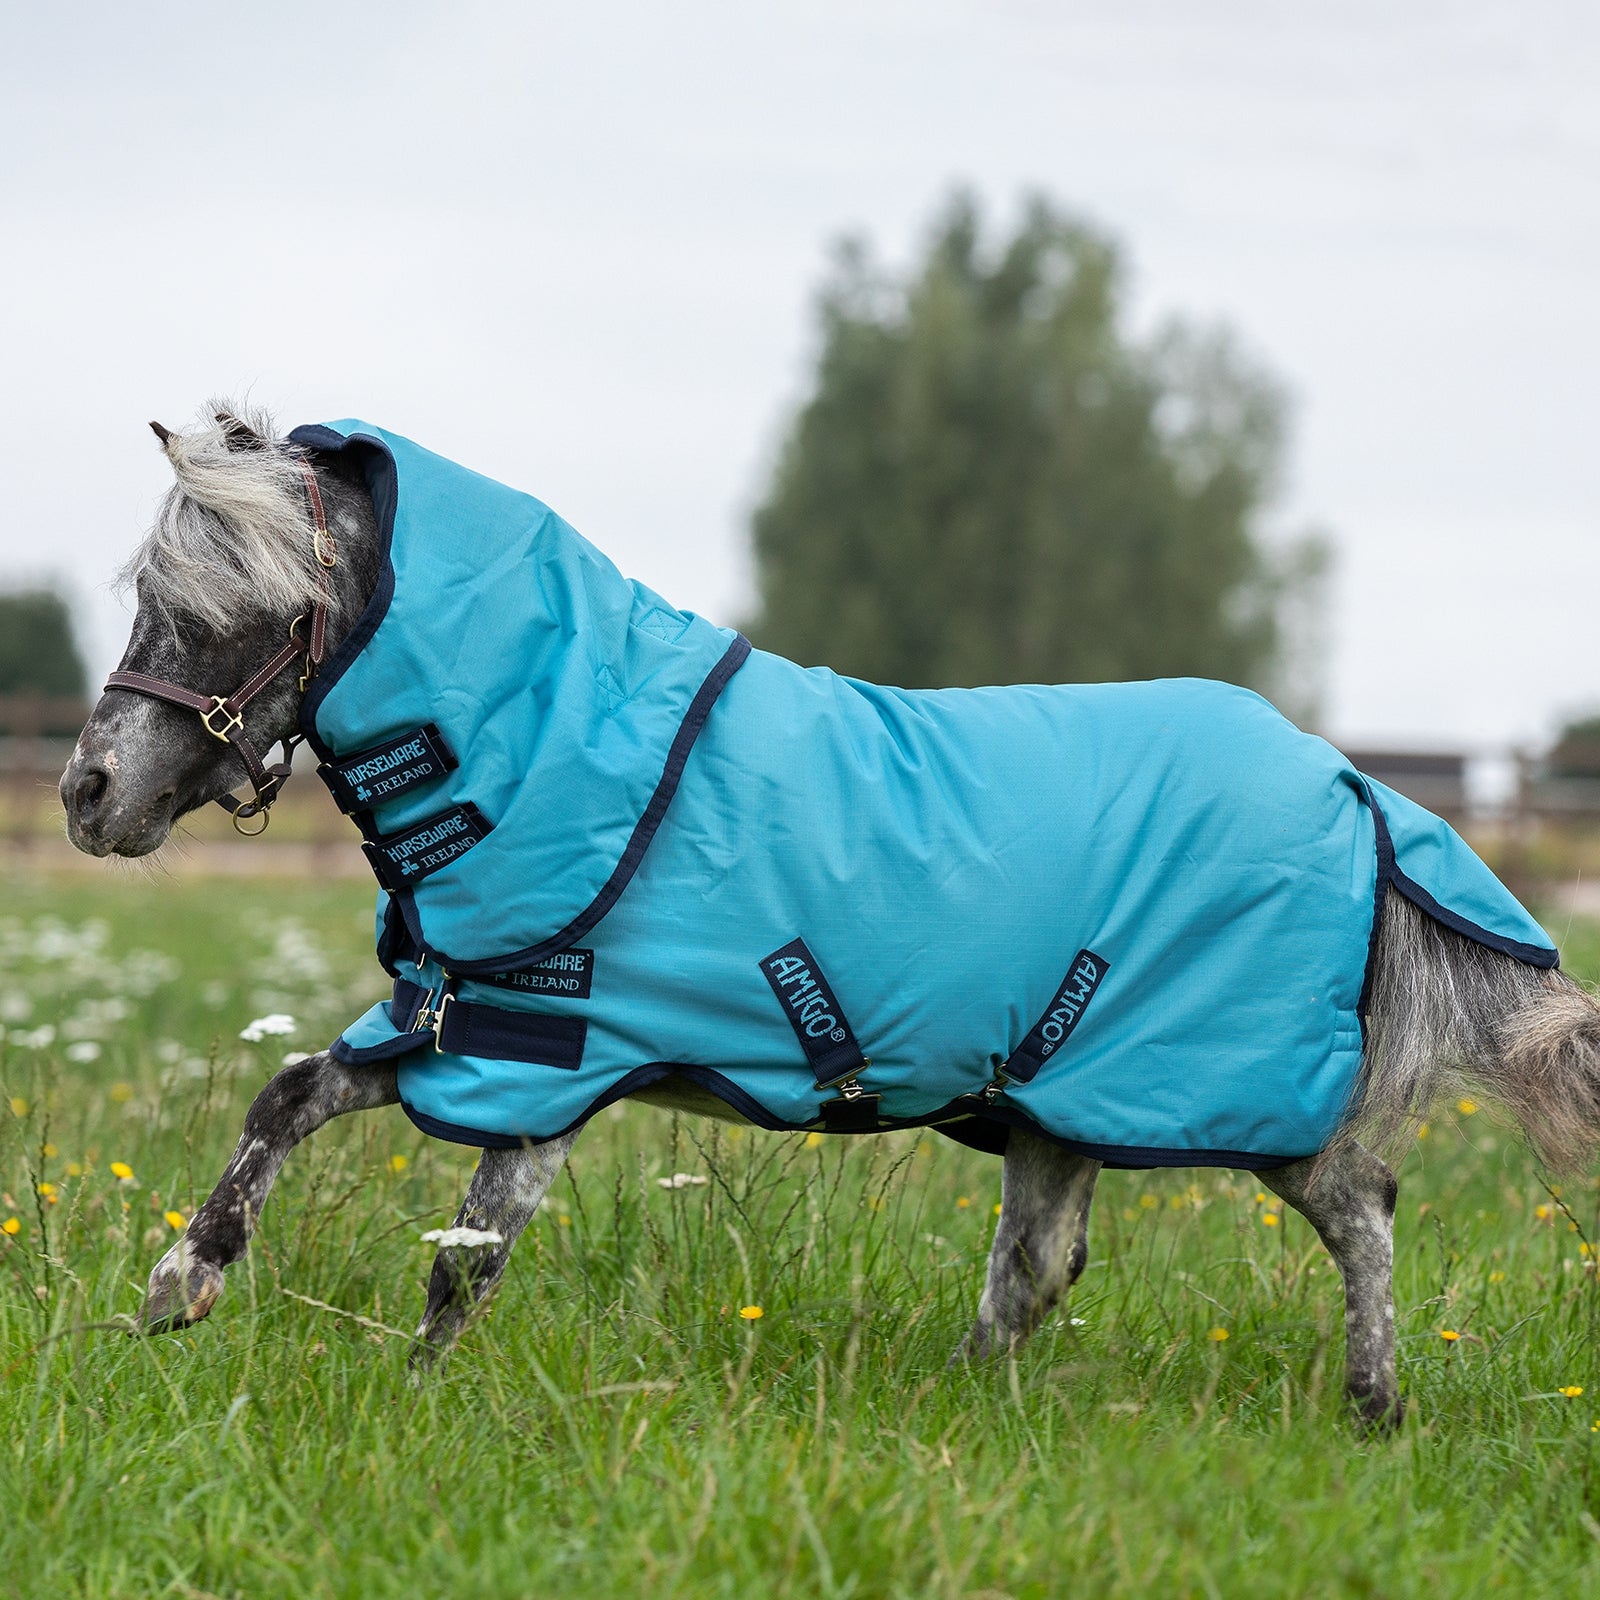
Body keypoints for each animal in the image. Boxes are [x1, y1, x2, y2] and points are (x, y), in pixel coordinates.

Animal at [59, 404, 1600, 1427]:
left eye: (231, 607)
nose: (87, 794)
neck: (560, 742)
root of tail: (1354, 788)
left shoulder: (542, 1063)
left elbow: (465, 1265)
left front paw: (414, 1401)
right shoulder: (461, 1025)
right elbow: (287, 1095)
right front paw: (180, 1285)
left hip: (1224, 1089)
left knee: (1360, 1204)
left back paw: (1373, 1408)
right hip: (1057, 1091)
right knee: (1040, 1263)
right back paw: (967, 1411)